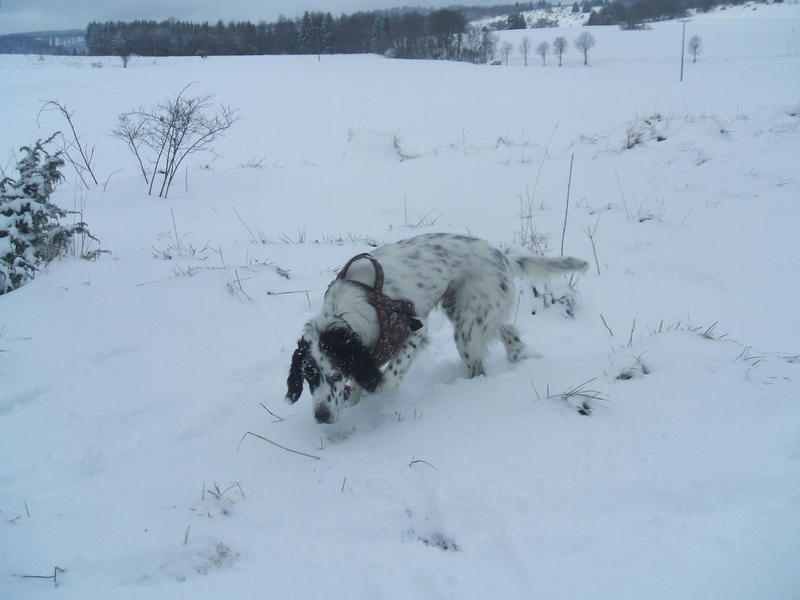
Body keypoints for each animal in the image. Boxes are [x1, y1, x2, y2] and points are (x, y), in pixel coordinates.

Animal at [284, 232, 584, 424]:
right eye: (309, 376)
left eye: (335, 375)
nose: (321, 417)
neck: (349, 308)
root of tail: (501, 255)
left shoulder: (414, 329)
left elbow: (387, 380)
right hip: (466, 308)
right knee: (509, 333)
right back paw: (519, 355)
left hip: (466, 328)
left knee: (478, 365)